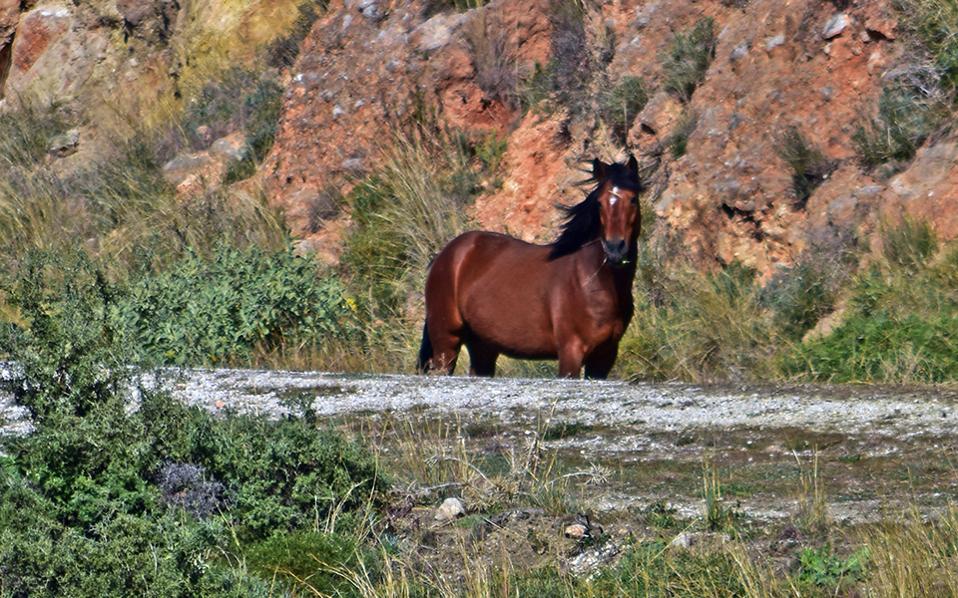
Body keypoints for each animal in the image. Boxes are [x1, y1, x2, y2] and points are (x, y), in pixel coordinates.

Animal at [420, 156, 644, 380]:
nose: (615, 248)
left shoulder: (604, 357)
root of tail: (445, 254)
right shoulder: (571, 352)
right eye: (599, 203)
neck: (592, 281)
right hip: (446, 342)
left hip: (483, 347)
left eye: (633, 199)